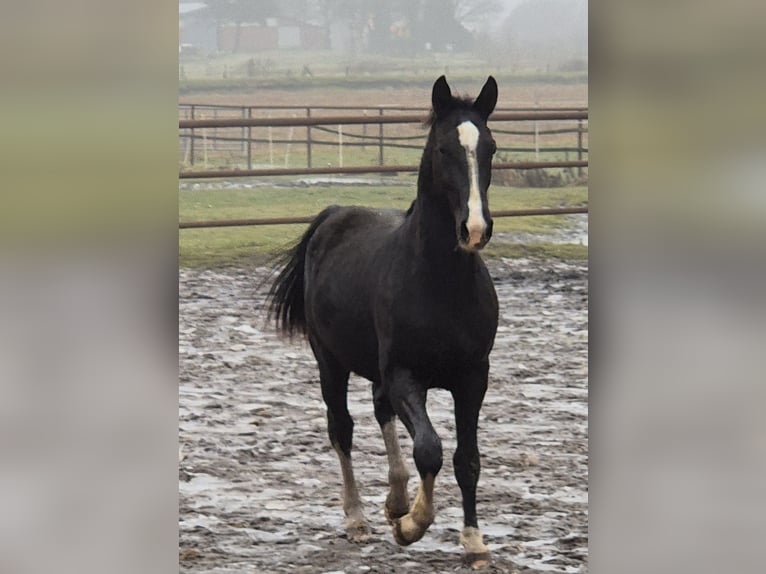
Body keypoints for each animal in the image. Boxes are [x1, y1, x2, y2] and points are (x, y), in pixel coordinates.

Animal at [267, 76, 499, 566]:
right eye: (443, 149)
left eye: (490, 147)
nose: (474, 229)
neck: (440, 282)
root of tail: (334, 215)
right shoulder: (405, 375)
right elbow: (430, 449)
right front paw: (412, 525)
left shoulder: (473, 377)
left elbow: (466, 458)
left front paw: (473, 541)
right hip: (330, 362)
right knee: (342, 429)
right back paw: (358, 519)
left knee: (380, 411)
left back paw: (394, 500)